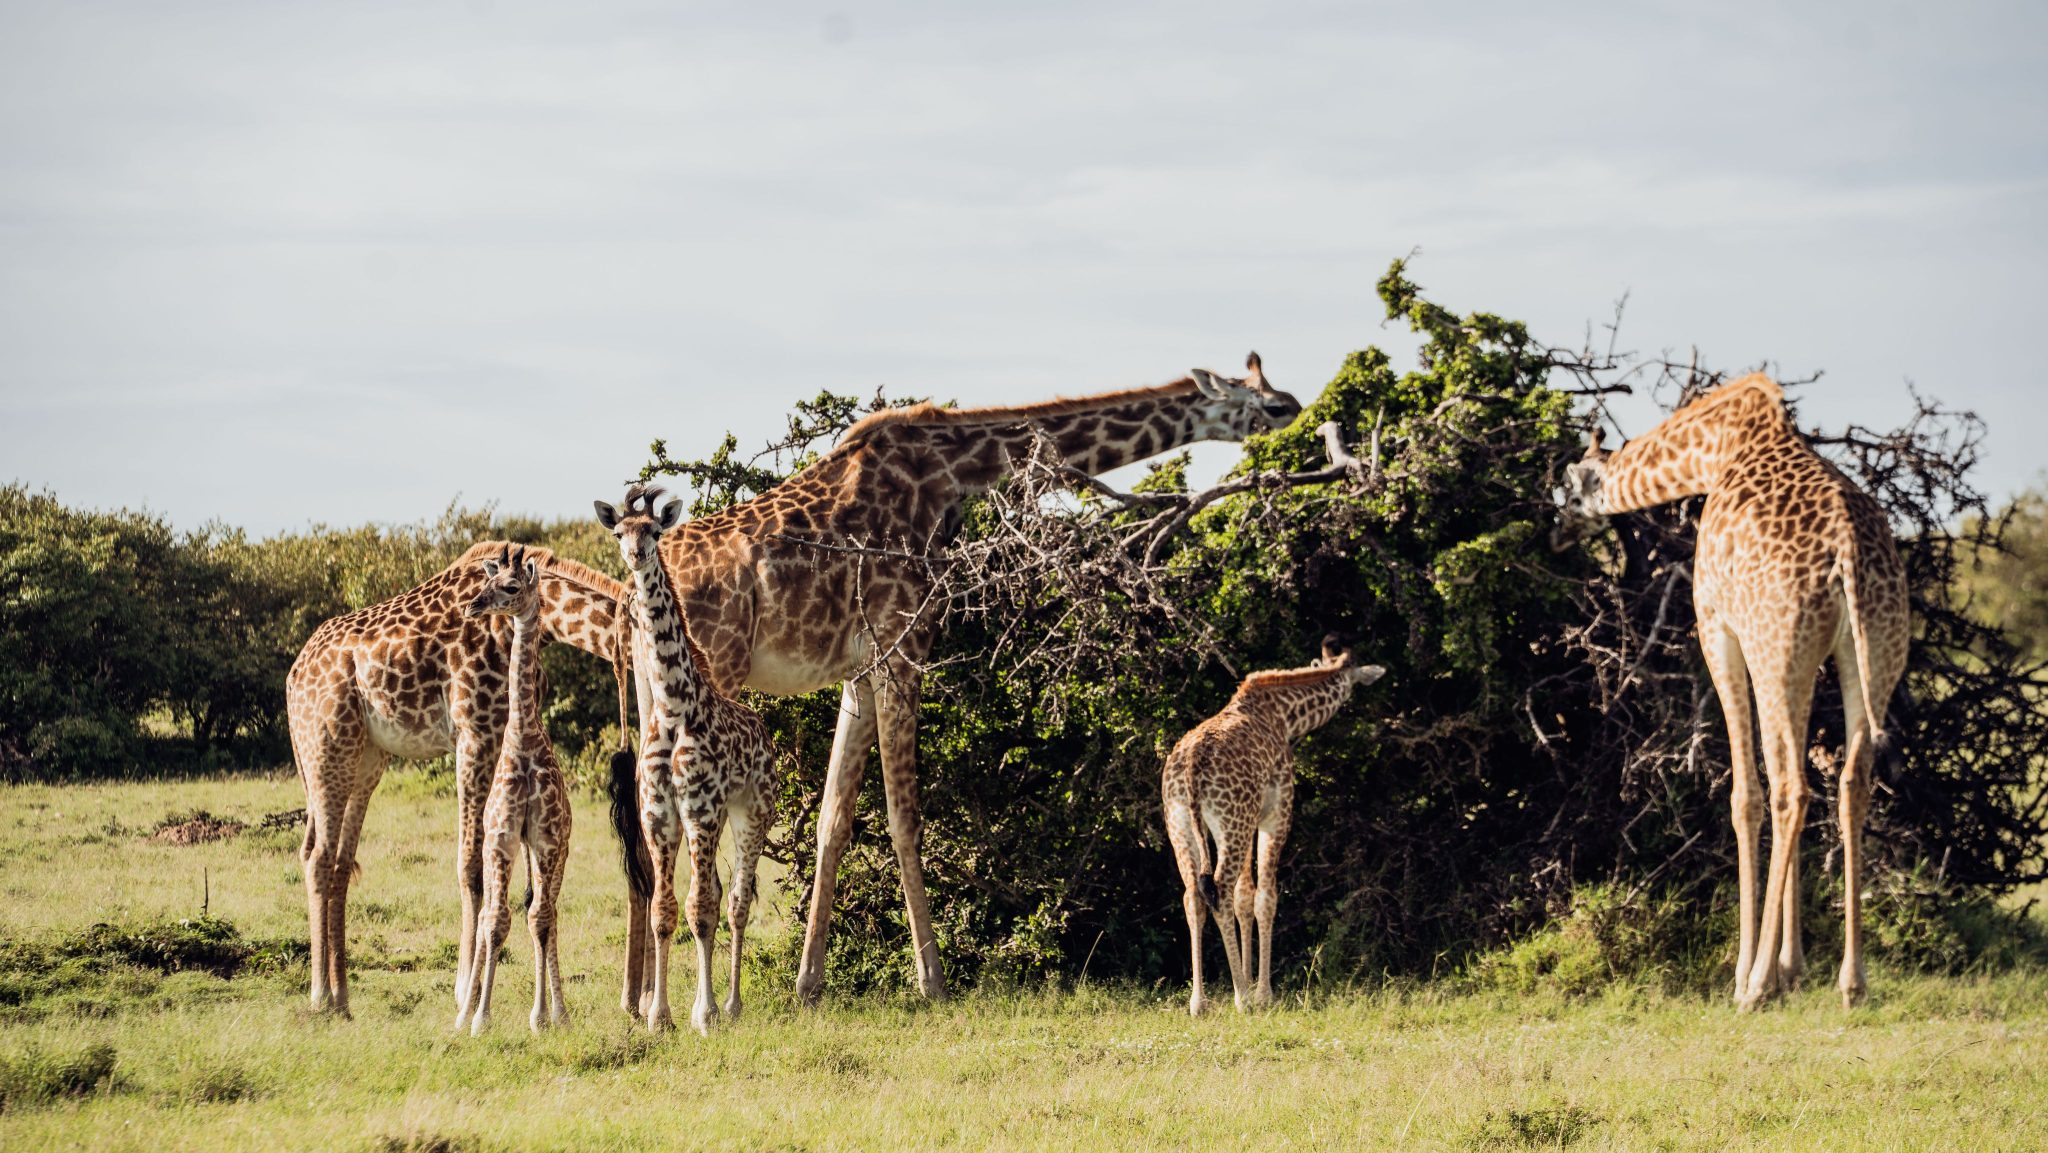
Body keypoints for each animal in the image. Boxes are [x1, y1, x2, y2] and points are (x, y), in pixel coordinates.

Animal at [285, 539, 637, 1018]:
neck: (549, 628)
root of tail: (293, 677)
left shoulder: (504, 735)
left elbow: (525, 883)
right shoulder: (474, 733)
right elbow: (471, 865)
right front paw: (465, 989)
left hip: (365, 759)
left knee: (339, 859)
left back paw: (342, 998)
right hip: (326, 747)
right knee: (319, 857)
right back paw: (321, 994)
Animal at [597, 485, 777, 1034]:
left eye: (655, 531)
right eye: (619, 531)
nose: (636, 555)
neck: (676, 706)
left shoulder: (700, 808)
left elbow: (700, 910)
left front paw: (706, 1012)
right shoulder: (659, 814)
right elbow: (664, 910)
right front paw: (659, 1015)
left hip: (750, 813)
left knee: (735, 901)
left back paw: (732, 1004)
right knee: (718, 894)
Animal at [637, 354, 1303, 1003]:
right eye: (1267, 403)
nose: (1297, 408)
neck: (954, 470)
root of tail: (629, 596)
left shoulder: (860, 670)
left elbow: (834, 820)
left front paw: (809, 983)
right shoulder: (903, 645)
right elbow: (904, 817)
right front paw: (932, 981)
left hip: (653, 689)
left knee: (648, 814)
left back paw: (643, 1003)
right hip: (715, 674)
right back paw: (689, 1006)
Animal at [1162, 636, 1385, 1016]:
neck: (1283, 716)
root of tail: (1190, 768)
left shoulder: (1251, 818)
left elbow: (1245, 896)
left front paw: (1252, 981)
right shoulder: (1276, 812)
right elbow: (1266, 896)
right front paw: (1262, 992)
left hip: (1183, 824)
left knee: (1193, 895)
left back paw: (1199, 1002)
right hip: (1230, 821)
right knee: (1219, 889)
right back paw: (1241, 998)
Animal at [1555, 374, 1911, 1009]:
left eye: (1568, 490)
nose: (1555, 534)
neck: (1720, 446)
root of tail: (1849, 554)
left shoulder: (1716, 625)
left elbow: (1745, 794)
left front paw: (1756, 971)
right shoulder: (1801, 656)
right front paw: (1794, 968)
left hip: (1775, 649)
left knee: (1790, 788)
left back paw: (1755, 986)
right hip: (1869, 652)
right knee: (1849, 782)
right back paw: (1851, 981)